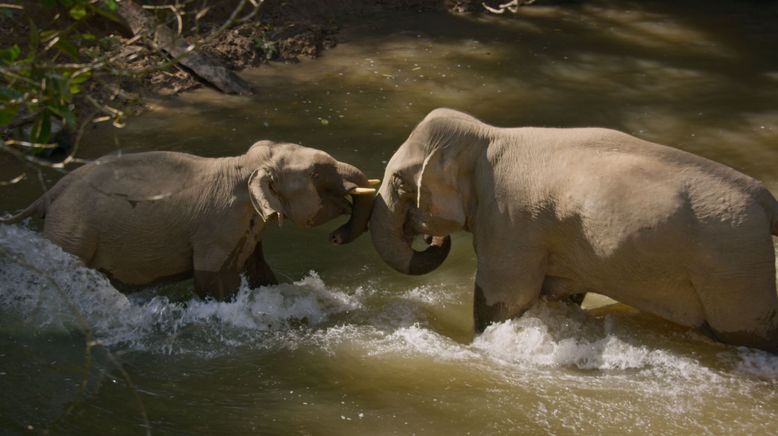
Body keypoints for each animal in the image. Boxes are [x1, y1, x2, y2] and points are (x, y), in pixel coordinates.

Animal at [0, 141, 376, 300]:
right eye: (318, 173)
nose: (335, 238)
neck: (242, 166)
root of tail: (51, 193)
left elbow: (260, 274)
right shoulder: (217, 226)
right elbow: (211, 280)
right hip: (71, 233)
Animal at [368, 107, 776, 352]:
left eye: (400, 183)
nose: (430, 235)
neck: (488, 135)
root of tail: (764, 199)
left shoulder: (510, 221)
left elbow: (504, 299)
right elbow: (560, 296)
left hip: (733, 271)